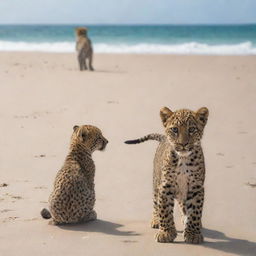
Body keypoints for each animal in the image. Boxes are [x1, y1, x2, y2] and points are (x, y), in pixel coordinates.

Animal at [125, 107, 209, 243]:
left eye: (192, 129)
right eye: (175, 129)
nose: (183, 144)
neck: (183, 159)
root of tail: (163, 138)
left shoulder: (196, 187)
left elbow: (195, 211)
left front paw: (193, 234)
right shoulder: (165, 186)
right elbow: (165, 210)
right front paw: (166, 233)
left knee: (183, 204)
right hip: (155, 182)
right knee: (156, 202)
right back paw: (156, 220)